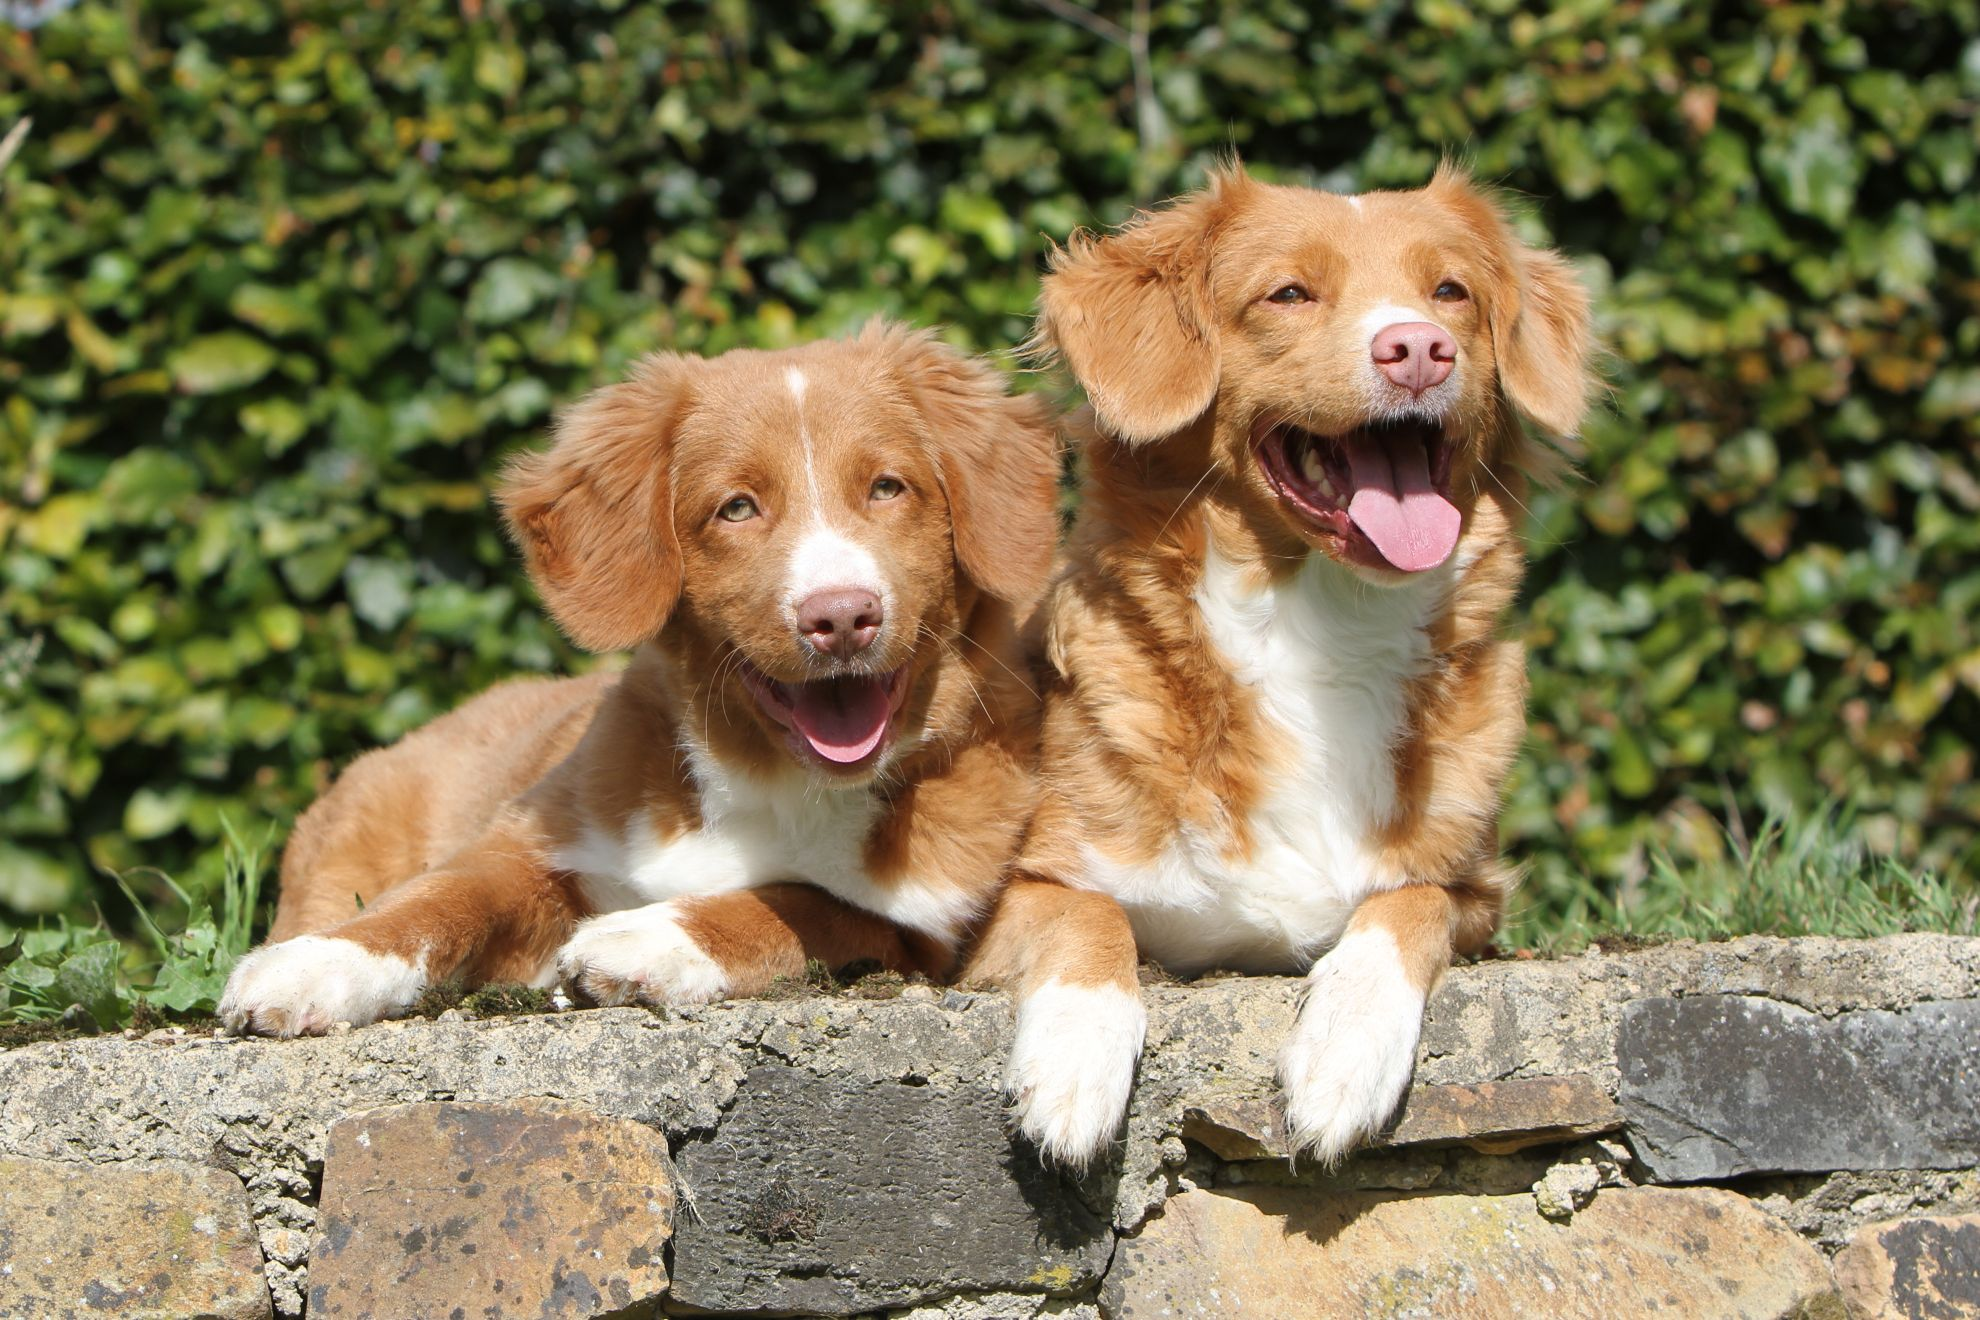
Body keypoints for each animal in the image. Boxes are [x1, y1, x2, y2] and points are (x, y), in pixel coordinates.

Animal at [216, 322, 1069, 1044]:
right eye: (736, 508)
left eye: (888, 488)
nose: (842, 616)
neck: (765, 781)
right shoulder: (525, 841)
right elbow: (436, 900)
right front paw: (318, 965)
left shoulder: (916, 929)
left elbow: (796, 900)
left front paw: (647, 937)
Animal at [966, 162, 1599, 1163]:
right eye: (1290, 294)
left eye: (1451, 292)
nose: (1419, 349)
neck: (1318, 633)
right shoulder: (1000, 905)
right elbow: (1086, 913)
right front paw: (1074, 1059)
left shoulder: (1475, 892)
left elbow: (1405, 907)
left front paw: (1346, 1050)